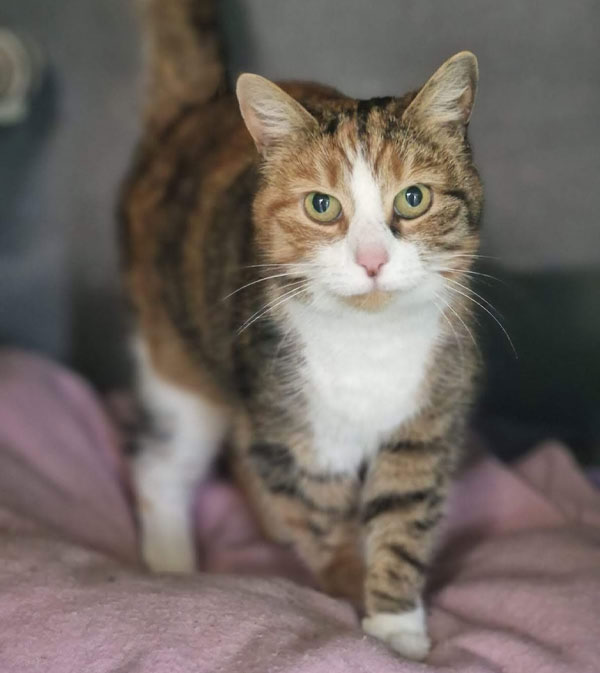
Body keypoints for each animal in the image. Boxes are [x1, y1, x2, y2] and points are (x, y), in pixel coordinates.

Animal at [119, 0, 486, 660]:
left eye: (413, 199)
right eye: (321, 206)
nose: (372, 259)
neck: (369, 341)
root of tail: (197, 109)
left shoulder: (429, 418)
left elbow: (403, 514)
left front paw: (397, 625)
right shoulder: (296, 433)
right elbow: (324, 518)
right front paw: (352, 595)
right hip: (177, 358)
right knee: (163, 462)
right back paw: (172, 563)